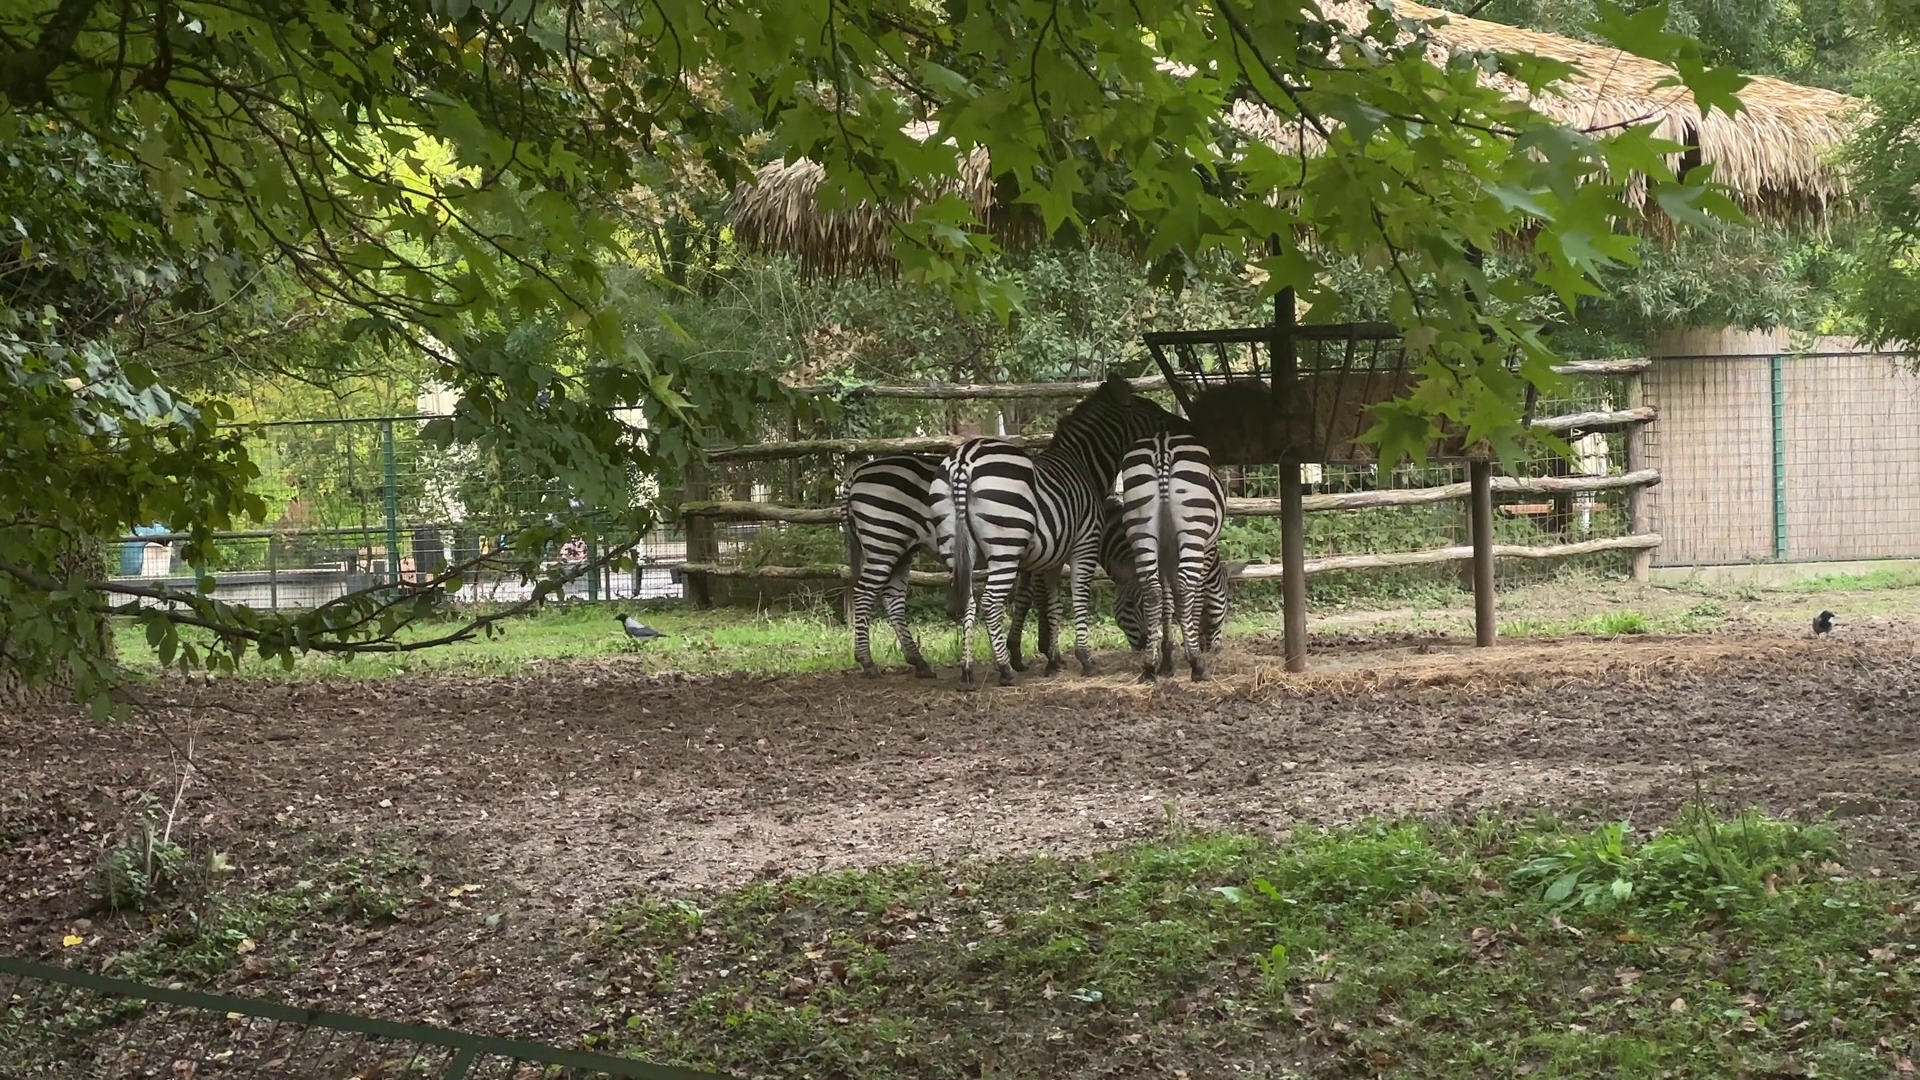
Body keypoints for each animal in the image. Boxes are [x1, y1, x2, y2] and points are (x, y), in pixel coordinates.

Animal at [943, 374, 1186, 687]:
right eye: (1154, 413)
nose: (1186, 426)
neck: (1083, 463)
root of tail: (964, 460)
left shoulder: (1052, 556)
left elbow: (1052, 603)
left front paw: (1053, 659)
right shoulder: (1084, 543)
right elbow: (1079, 595)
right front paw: (1084, 659)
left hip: (958, 551)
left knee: (968, 602)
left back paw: (967, 669)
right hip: (1005, 549)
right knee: (990, 603)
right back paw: (1005, 670)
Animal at [1118, 430, 1227, 681]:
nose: (1212, 647)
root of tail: (1162, 444)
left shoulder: (1165, 555)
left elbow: (1167, 599)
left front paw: (1166, 659)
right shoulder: (1207, 550)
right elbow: (1195, 597)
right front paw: (1190, 649)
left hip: (1141, 529)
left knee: (1152, 590)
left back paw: (1149, 666)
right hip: (1193, 528)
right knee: (1186, 588)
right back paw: (1197, 664)